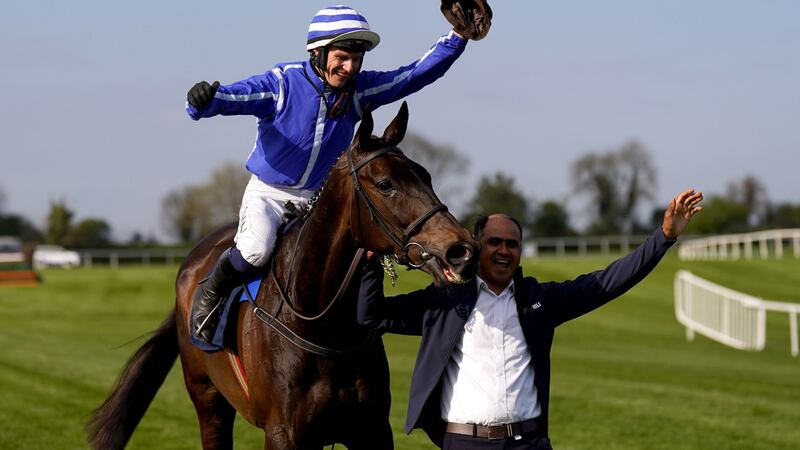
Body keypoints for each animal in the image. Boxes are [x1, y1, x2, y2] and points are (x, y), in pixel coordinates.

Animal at [87, 103, 476, 450]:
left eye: (426, 176)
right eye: (385, 184)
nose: (461, 249)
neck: (324, 326)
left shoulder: (372, 431)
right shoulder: (283, 434)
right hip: (207, 400)